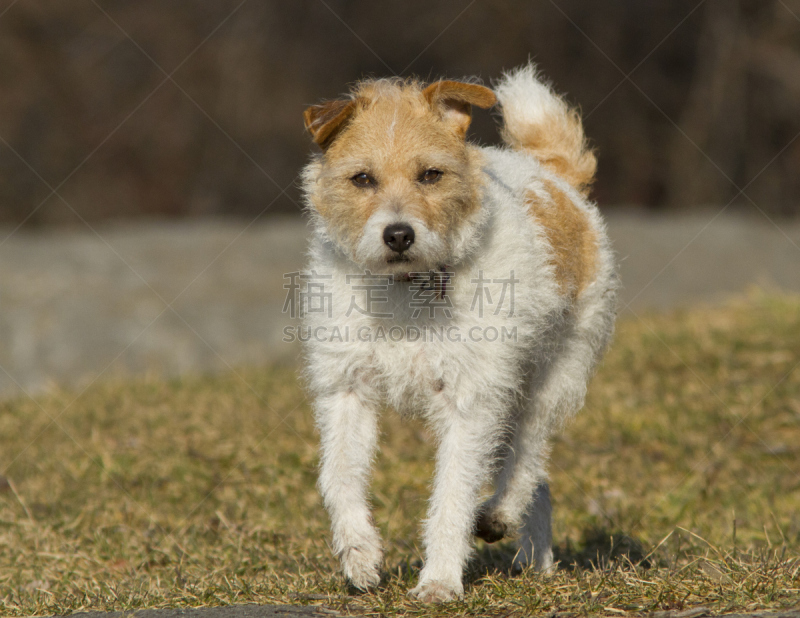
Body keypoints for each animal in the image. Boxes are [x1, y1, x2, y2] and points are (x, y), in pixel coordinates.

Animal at [300, 65, 620, 600]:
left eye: (431, 174)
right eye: (362, 178)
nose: (398, 234)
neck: (409, 290)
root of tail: (553, 174)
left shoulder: (470, 403)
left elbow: (452, 495)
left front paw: (440, 582)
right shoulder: (347, 390)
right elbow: (339, 476)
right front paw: (359, 554)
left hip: (548, 380)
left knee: (527, 458)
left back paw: (501, 515)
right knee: (538, 477)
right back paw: (535, 562)